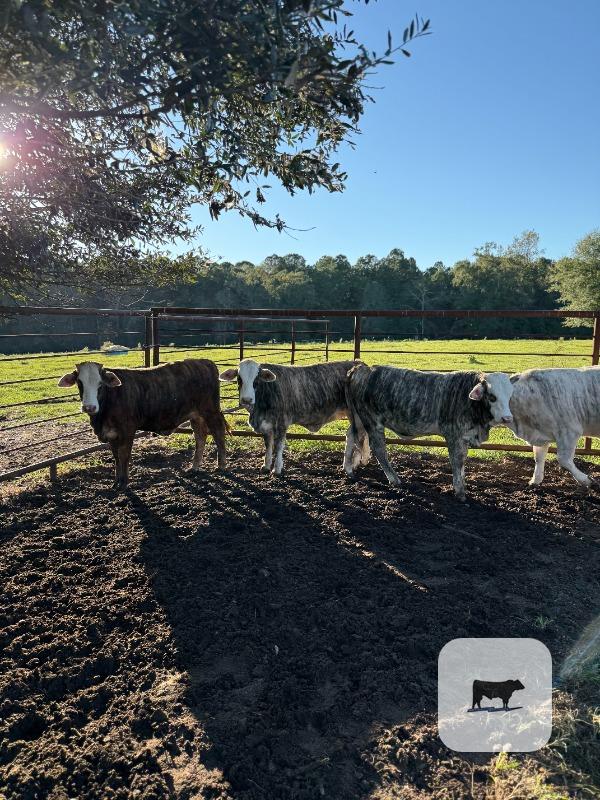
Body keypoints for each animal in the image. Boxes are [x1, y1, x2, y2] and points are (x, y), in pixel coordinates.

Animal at [57, 360, 228, 489]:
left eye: (100, 384)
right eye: (80, 382)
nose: (89, 407)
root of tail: (205, 362)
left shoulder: (127, 430)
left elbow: (124, 455)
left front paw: (124, 482)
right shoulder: (111, 434)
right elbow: (116, 457)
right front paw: (116, 481)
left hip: (210, 411)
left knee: (218, 433)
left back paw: (221, 466)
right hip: (196, 415)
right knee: (200, 436)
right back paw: (194, 467)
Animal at [218, 358, 370, 475]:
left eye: (257, 379)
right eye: (239, 379)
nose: (247, 400)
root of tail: (360, 364)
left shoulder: (282, 422)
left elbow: (279, 445)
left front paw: (277, 469)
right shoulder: (266, 425)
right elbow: (268, 445)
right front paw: (266, 466)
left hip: (355, 413)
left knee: (355, 434)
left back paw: (350, 466)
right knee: (358, 434)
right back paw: (357, 462)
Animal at [344, 364, 514, 501]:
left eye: (509, 396)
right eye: (492, 397)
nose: (507, 418)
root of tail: (363, 369)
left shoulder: (464, 438)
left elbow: (463, 462)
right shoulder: (454, 436)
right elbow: (457, 461)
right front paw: (460, 492)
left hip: (358, 419)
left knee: (350, 435)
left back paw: (348, 469)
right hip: (372, 421)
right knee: (379, 448)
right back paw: (394, 479)